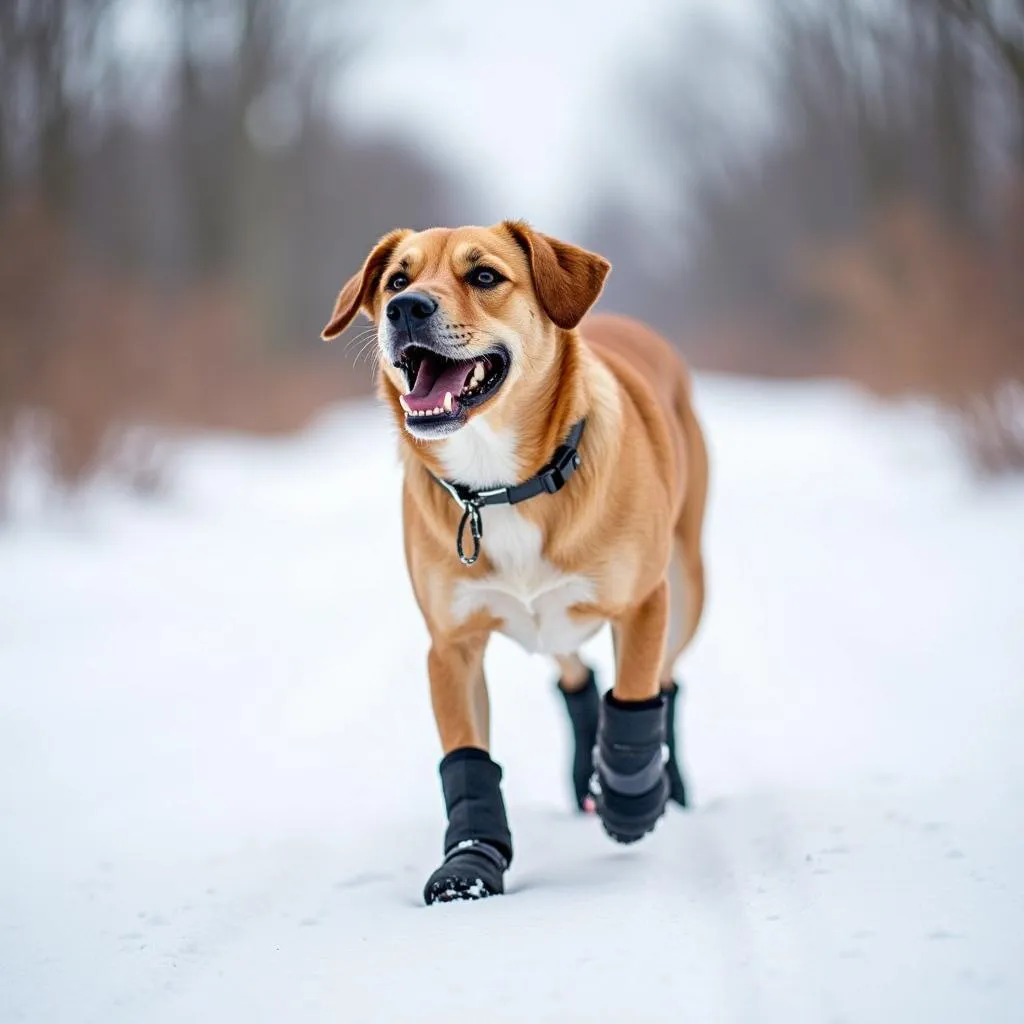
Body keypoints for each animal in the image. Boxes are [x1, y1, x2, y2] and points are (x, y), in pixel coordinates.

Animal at [323, 222, 708, 905]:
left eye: (484, 276)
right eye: (397, 280)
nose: (405, 309)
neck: (499, 484)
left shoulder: (642, 604)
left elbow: (636, 695)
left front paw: (632, 803)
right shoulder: (452, 645)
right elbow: (468, 760)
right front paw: (471, 863)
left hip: (686, 589)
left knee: (665, 681)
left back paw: (667, 786)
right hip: (552, 622)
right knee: (577, 677)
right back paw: (585, 776)